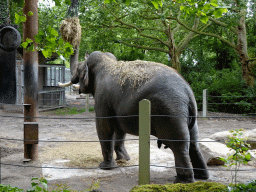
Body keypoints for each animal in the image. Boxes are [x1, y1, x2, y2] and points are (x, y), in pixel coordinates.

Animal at [58, 50, 210, 183]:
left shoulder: (102, 98)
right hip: (185, 114)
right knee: (194, 143)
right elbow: (119, 129)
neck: (107, 62)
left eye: (79, 69)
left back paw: (182, 181)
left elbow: (104, 127)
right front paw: (124, 160)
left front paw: (105, 167)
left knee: (179, 145)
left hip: (170, 112)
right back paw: (202, 177)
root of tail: (188, 92)